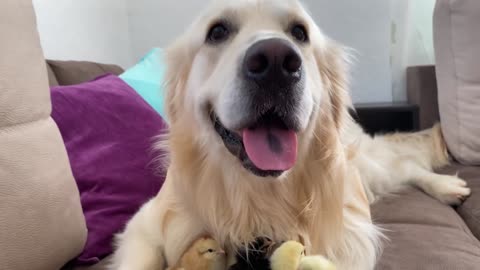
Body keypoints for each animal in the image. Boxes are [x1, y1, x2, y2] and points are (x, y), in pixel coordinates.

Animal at [109, 1, 468, 268]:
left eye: (299, 32)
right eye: (217, 31)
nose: (275, 62)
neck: (257, 197)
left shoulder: (350, 237)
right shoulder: (143, 224)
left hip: (365, 169)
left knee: (406, 167)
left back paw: (447, 186)